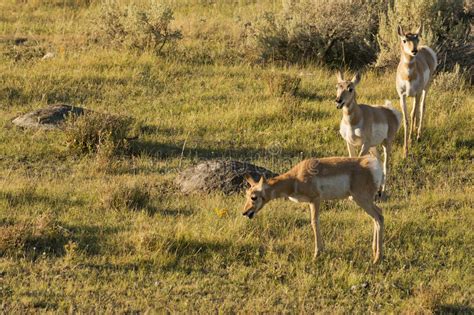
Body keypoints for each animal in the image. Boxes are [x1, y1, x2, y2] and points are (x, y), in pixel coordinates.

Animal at [244, 157, 386, 264]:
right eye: (246, 194)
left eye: (253, 197)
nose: (245, 212)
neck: (295, 178)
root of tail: (372, 165)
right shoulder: (311, 202)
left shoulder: (315, 200)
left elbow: (314, 222)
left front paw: (316, 255)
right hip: (362, 200)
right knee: (377, 216)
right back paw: (374, 251)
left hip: (361, 199)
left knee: (379, 216)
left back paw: (377, 259)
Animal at [396, 24, 436, 158]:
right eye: (404, 40)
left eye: (417, 39)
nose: (414, 51)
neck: (408, 76)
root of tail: (426, 49)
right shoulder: (402, 96)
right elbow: (407, 119)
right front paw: (405, 151)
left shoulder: (417, 93)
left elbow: (413, 114)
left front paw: (410, 141)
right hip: (414, 95)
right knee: (416, 110)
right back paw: (414, 132)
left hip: (425, 88)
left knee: (421, 107)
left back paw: (418, 135)